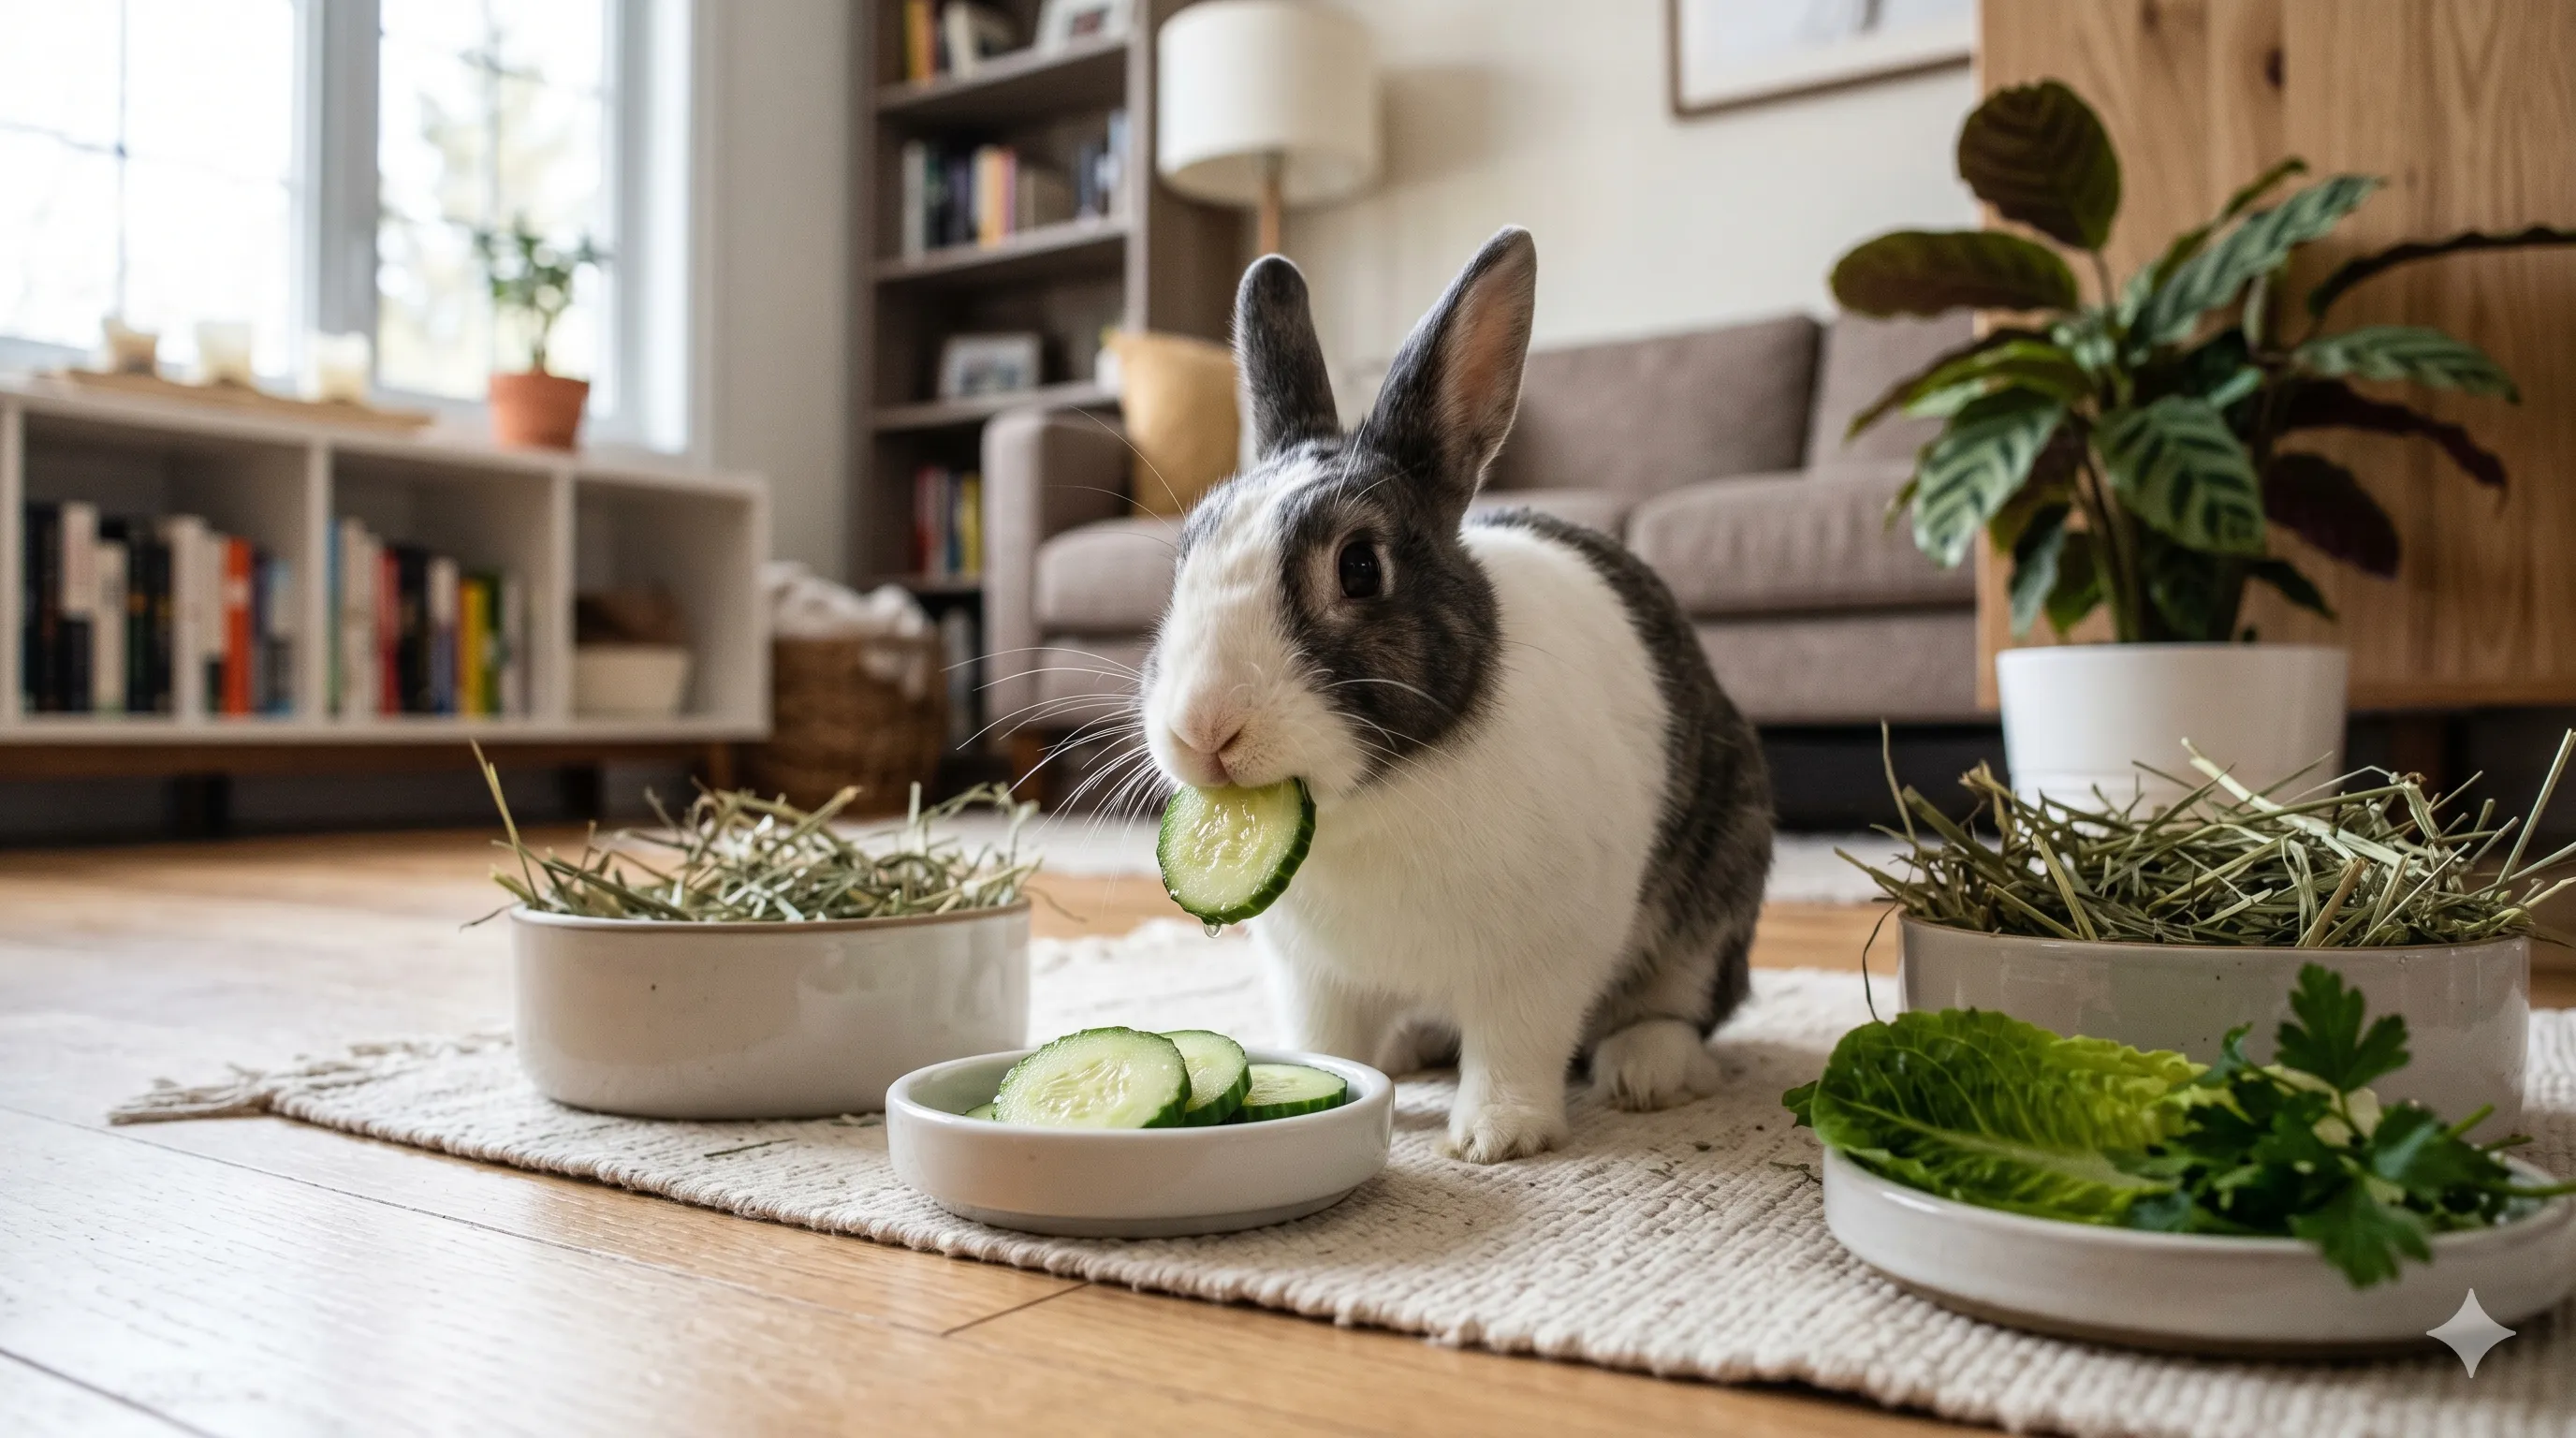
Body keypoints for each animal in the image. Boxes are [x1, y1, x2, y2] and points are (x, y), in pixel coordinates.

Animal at [1139, 227, 1774, 1163]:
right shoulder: (1313, 976)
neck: (1380, 798)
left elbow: (1517, 1046)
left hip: (1719, 884)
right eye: (1185, 554)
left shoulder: (1540, 964)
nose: (1203, 730)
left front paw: (1497, 1138)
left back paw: (1647, 1071)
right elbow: (1327, 1040)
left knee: (1684, 1006)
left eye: (1359, 568)